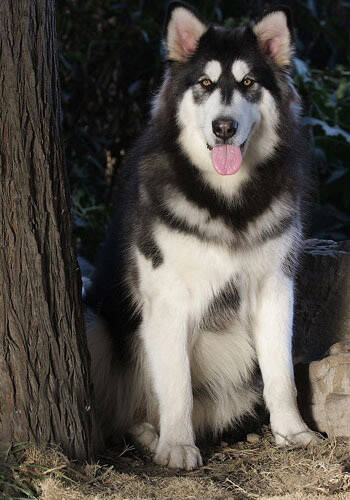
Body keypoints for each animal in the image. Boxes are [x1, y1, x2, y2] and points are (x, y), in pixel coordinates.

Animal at [85, 0, 318, 468]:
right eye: (206, 84)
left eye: (248, 83)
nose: (223, 127)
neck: (227, 201)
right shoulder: (167, 298)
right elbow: (176, 384)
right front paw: (177, 445)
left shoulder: (275, 287)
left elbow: (281, 373)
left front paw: (292, 431)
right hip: (93, 322)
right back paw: (147, 432)